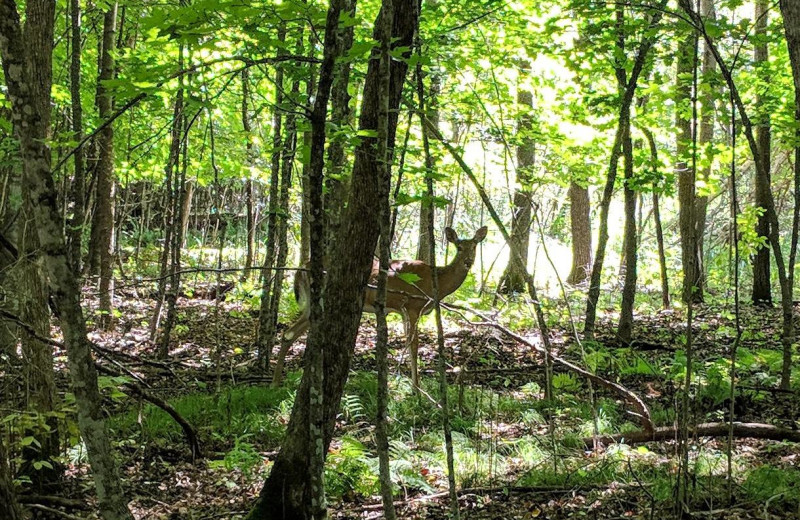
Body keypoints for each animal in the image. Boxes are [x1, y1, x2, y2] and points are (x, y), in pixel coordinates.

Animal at [272, 225, 488, 388]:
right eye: (459, 247)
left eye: (475, 246)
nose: (468, 261)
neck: (436, 282)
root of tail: (301, 268)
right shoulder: (413, 306)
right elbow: (414, 346)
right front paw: (416, 390)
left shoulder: (403, 311)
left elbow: (407, 344)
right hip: (322, 298)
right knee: (291, 333)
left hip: (311, 303)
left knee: (289, 333)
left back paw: (275, 382)